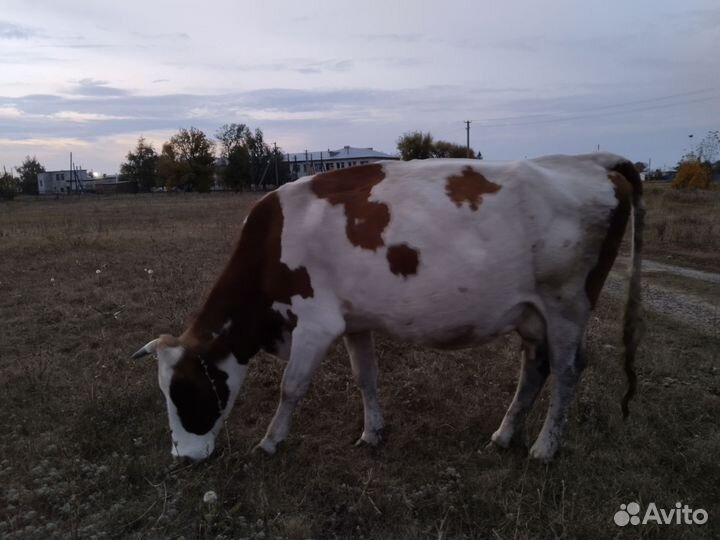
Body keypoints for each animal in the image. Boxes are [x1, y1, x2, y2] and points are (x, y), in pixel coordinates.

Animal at [132, 153, 644, 463]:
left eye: (184, 391)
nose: (183, 457)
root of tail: (592, 161)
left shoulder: (316, 322)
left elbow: (291, 387)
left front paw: (270, 442)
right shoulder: (354, 319)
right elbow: (366, 377)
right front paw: (372, 432)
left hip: (567, 305)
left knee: (568, 371)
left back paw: (543, 448)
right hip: (534, 313)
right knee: (535, 368)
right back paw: (504, 436)